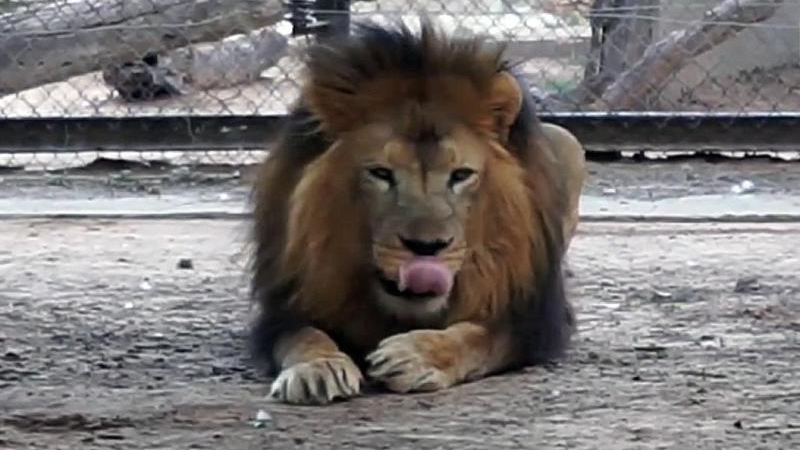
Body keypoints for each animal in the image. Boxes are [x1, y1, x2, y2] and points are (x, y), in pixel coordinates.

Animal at [247, 19, 586, 405]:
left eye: (461, 175)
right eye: (381, 173)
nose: (427, 248)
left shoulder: (532, 320)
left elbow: (477, 337)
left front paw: (414, 355)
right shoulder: (284, 307)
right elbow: (304, 335)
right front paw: (317, 369)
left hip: (567, 141)